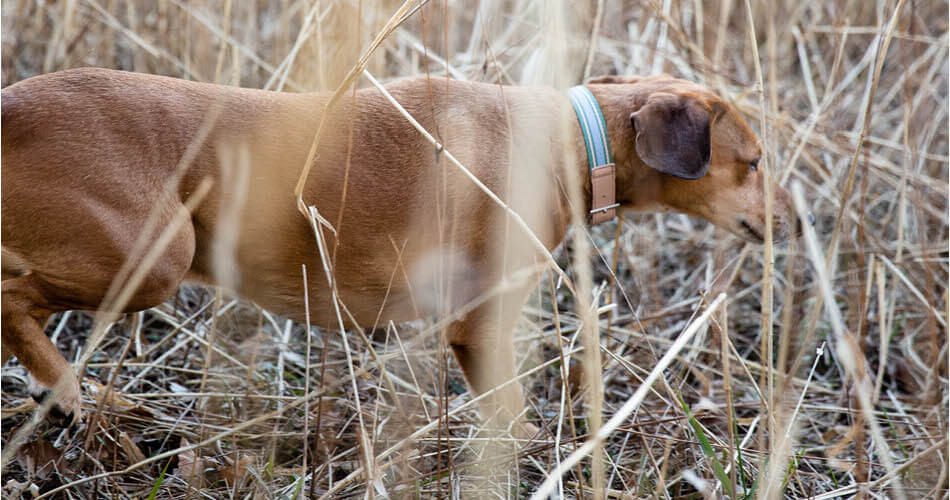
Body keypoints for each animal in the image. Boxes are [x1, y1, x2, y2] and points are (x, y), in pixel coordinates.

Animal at [1, 68, 804, 430]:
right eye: (754, 162)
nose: (796, 222)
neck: (573, 142)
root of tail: (13, 104)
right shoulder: (478, 326)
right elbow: (510, 415)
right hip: (157, 255)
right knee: (12, 303)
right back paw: (64, 387)